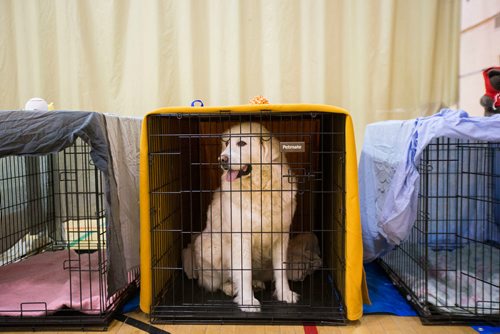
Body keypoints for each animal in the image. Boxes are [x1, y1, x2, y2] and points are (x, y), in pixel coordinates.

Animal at [192, 121, 298, 312]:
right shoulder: (241, 238)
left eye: (241, 143)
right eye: (227, 144)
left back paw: (256, 284)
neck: (260, 188)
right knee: (216, 282)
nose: (222, 159)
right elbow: (244, 273)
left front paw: (285, 294)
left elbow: (281, 269)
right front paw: (248, 301)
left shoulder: (282, 236)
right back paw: (230, 287)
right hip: (207, 245)